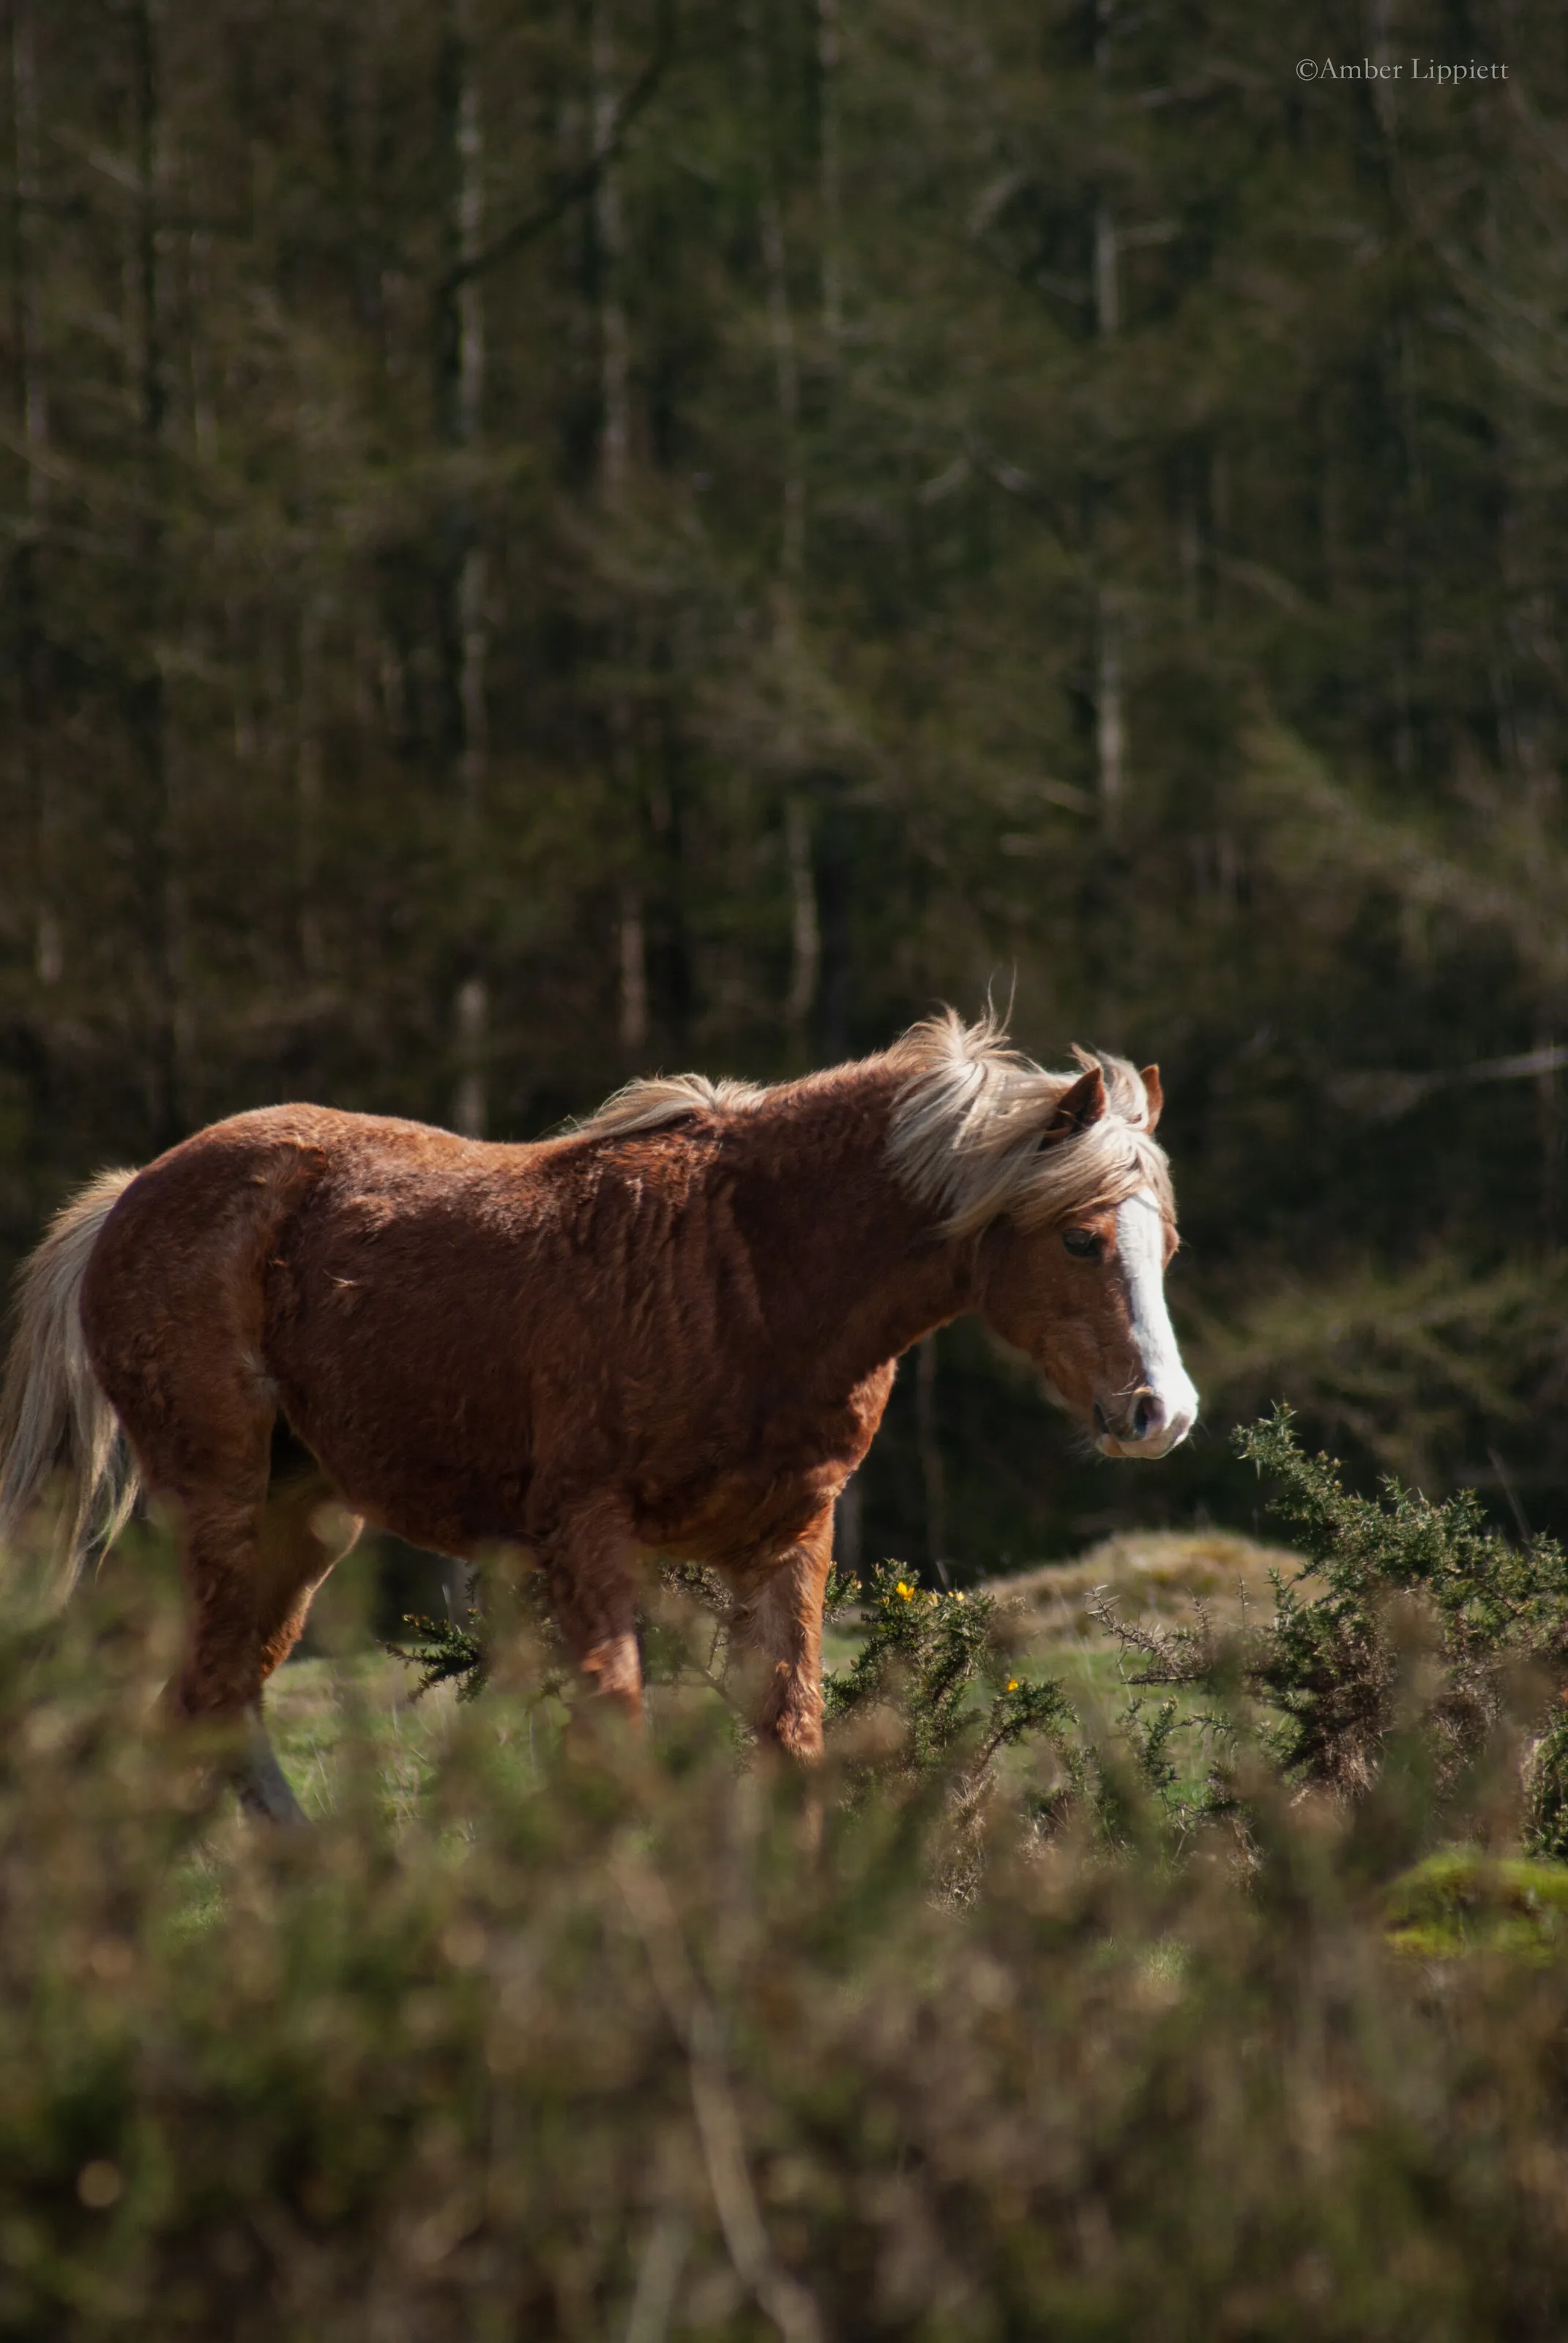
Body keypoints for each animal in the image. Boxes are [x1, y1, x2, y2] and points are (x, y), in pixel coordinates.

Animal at [0, 1010, 1197, 1822]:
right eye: (1080, 1238)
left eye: (1166, 1242)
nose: (1163, 1414)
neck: (754, 1270)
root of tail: (131, 1193)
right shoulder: (586, 1534)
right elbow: (613, 1737)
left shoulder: (784, 1544)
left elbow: (789, 1739)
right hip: (221, 1502)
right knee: (202, 1696)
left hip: (307, 1523)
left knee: (216, 1705)